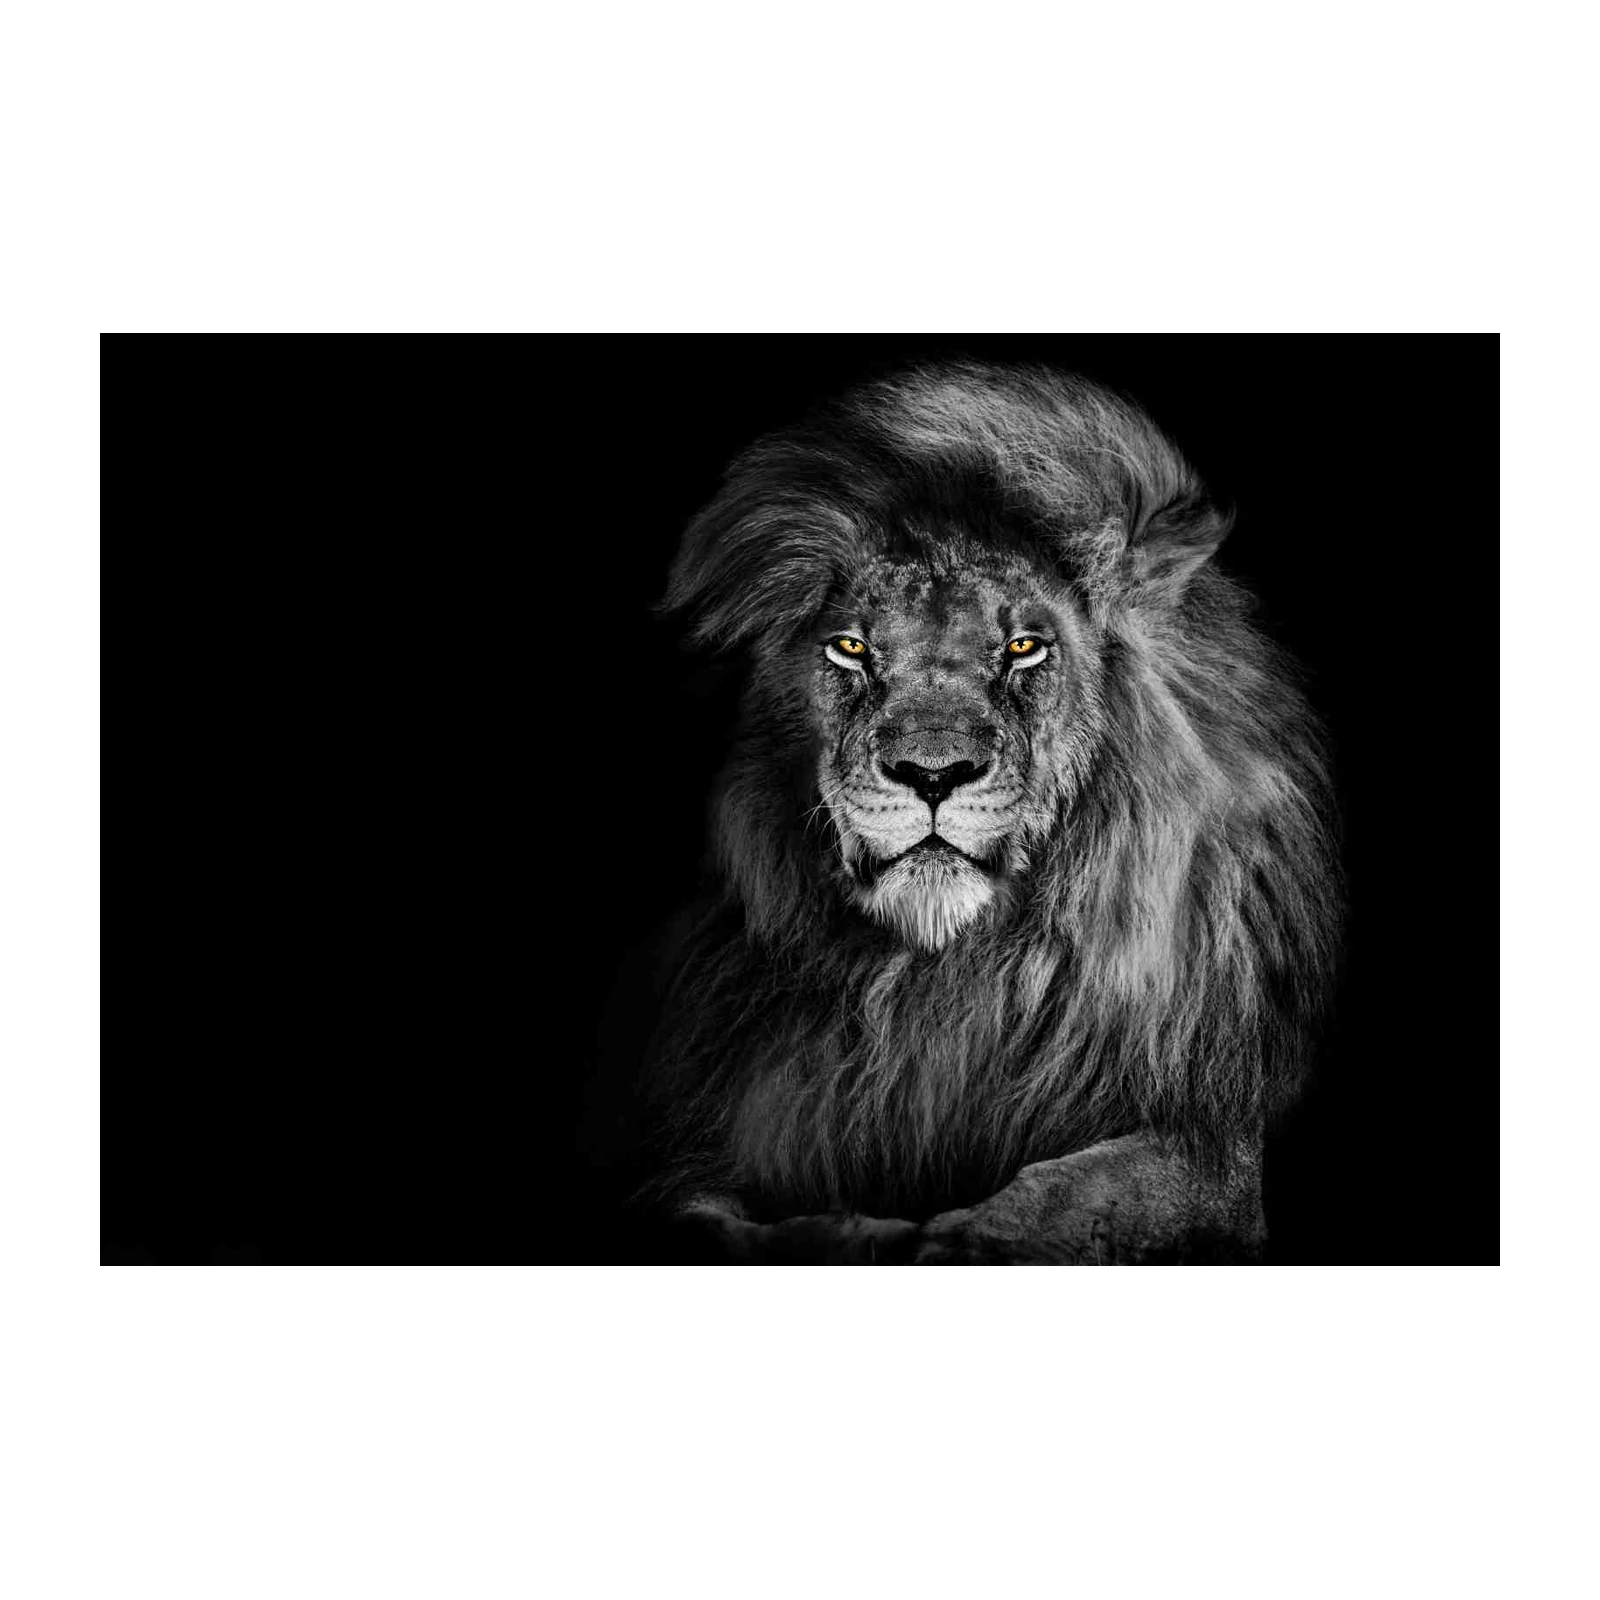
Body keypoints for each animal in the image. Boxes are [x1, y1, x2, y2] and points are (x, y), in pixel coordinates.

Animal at [632, 359, 1341, 1270]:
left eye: (1024, 647)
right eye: (851, 648)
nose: (932, 774)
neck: (941, 979)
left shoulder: (1211, 1144)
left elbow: (1071, 1195)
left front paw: (956, 1243)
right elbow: (701, 1213)